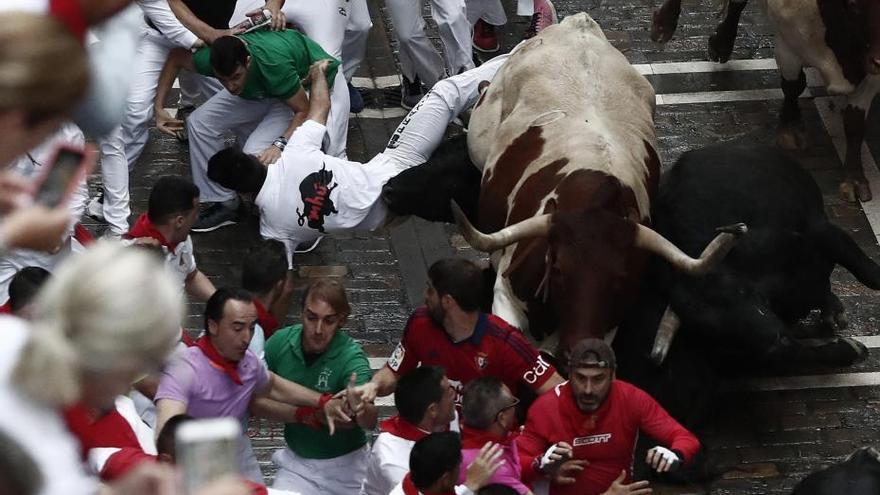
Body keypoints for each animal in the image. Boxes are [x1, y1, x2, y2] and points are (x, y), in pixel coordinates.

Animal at [454, 12, 748, 356]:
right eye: (558, 271)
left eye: (620, 280)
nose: (582, 347)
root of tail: (579, 22)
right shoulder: (505, 294)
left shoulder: (608, 327)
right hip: (480, 136)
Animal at [768, 0, 880, 203]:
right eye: (854, 3)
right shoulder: (787, 44)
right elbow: (792, 86)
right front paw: (788, 130)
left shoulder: (871, 69)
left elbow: (854, 123)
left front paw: (855, 180)